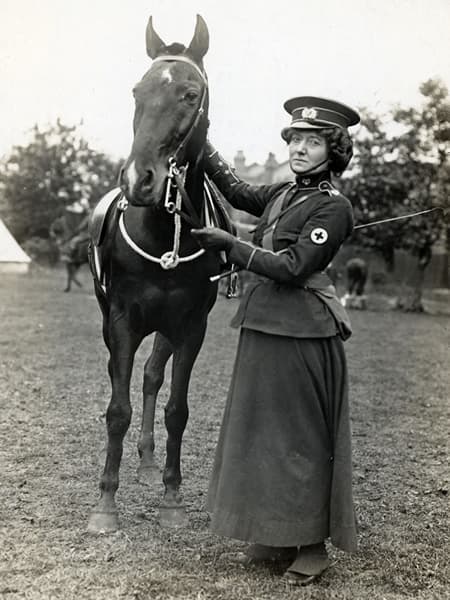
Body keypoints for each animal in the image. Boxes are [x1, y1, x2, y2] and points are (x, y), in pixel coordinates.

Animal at [86, 14, 221, 532]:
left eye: (190, 93)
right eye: (136, 91)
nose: (138, 180)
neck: (164, 233)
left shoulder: (191, 325)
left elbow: (176, 409)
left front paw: (172, 496)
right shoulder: (122, 321)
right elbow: (117, 410)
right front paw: (105, 503)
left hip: (166, 327)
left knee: (150, 377)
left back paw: (146, 464)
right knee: (128, 378)